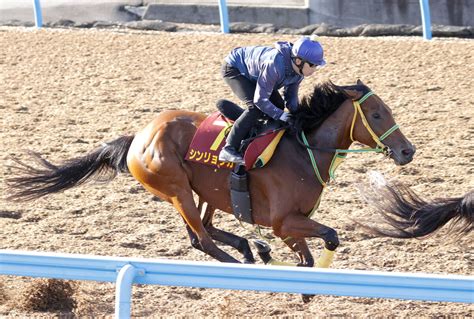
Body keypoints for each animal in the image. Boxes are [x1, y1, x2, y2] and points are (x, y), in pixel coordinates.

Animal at [7, 80, 424, 268]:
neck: (304, 150)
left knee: (205, 229)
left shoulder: (292, 225)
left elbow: (310, 254)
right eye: (376, 114)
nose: (407, 151)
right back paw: (242, 258)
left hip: (206, 190)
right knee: (202, 240)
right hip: (176, 188)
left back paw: (250, 248)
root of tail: (137, 137)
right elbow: (329, 237)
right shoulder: (283, 222)